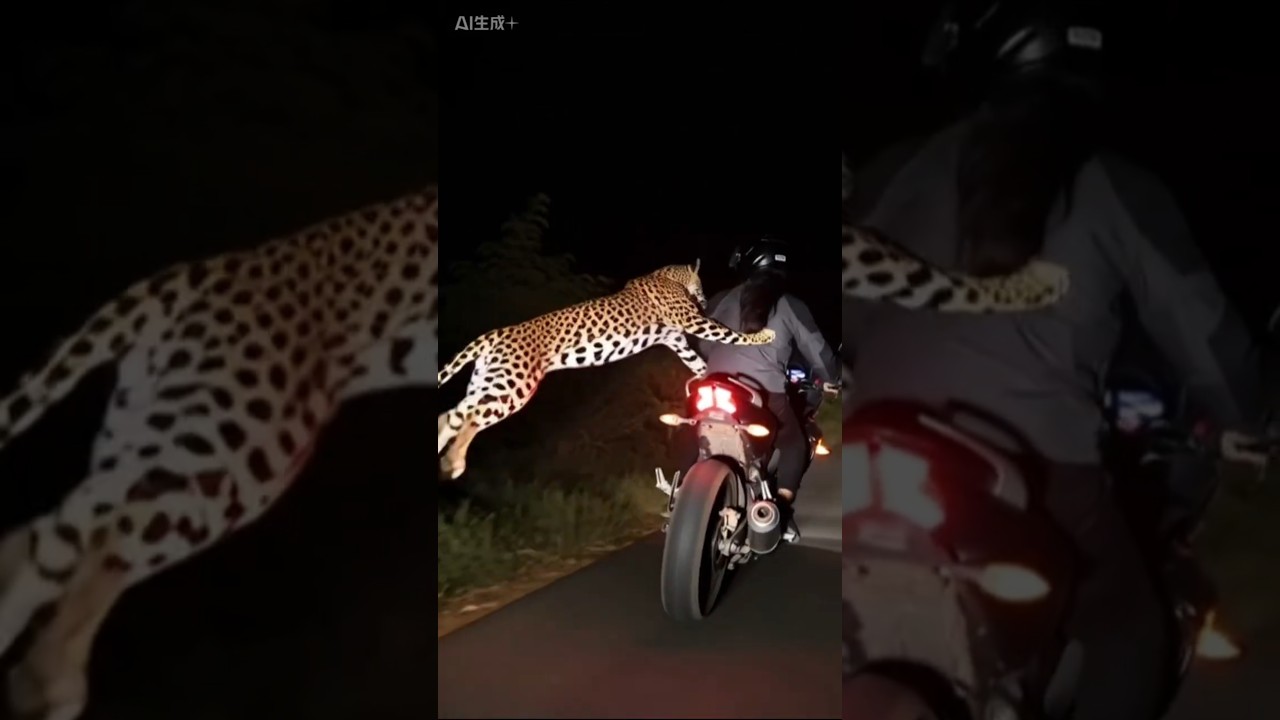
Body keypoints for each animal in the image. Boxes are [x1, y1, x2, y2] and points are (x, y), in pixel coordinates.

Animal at [0, 185, 437, 720]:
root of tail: (205, 266)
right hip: (232, 436)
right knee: (72, 535)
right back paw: (43, 674)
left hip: (186, 448)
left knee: (78, 536)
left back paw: (45, 682)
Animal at [436, 261, 775, 480]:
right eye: (701, 285)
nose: (704, 298)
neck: (667, 276)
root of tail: (497, 333)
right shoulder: (694, 323)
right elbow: (729, 335)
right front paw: (763, 336)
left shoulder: (676, 341)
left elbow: (697, 362)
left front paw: (708, 378)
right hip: (513, 385)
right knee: (470, 418)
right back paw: (454, 462)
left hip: (489, 380)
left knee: (451, 415)